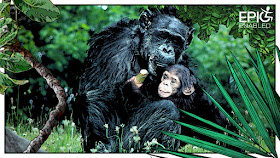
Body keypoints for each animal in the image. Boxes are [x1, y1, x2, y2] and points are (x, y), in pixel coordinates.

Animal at [74, 6, 195, 152]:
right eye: (162, 35)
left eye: (176, 41)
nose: (167, 49)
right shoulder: (115, 49)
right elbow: (100, 96)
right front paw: (103, 145)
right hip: (124, 146)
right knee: (167, 109)